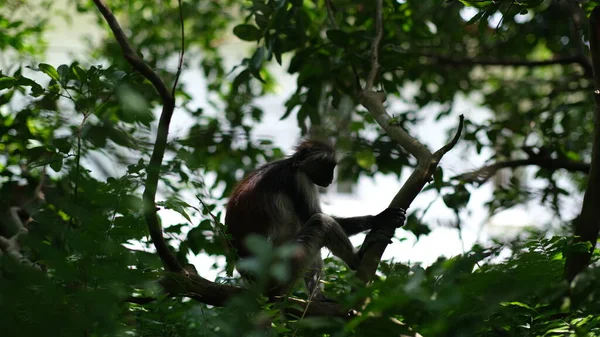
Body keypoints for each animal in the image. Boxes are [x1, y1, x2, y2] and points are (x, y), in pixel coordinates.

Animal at [226, 139, 408, 300]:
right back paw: (357, 260)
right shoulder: (298, 179)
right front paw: (379, 218)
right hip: (281, 268)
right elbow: (313, 215)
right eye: (327, 167)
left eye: (333, 167)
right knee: (321, 222)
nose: (331, 178)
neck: (291, 164)